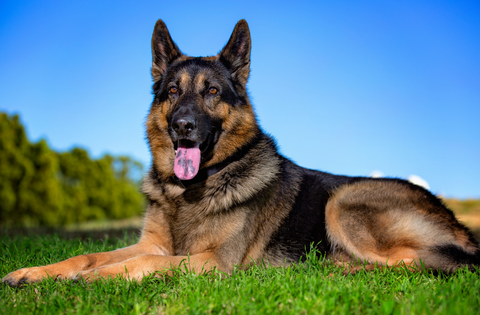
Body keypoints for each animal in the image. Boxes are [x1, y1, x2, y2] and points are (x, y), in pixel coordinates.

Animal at [2, 19, 476, 286]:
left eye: (212, 91)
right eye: (172, 92)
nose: (183, 126)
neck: (191, 191)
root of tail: (459, 224)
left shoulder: (212, 261)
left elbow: (143, 264)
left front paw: (92, 279)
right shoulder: (150, 243)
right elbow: (88, 253)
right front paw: (36, 273)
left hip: (343, 201)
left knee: (419, 262)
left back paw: (343, 271)